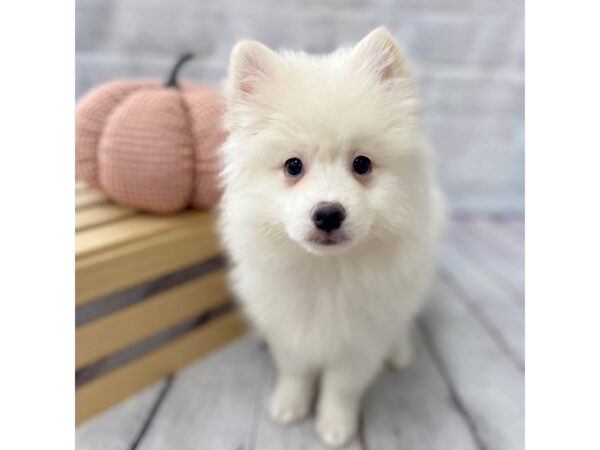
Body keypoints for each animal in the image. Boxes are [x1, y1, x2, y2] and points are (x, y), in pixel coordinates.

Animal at [219, 27, 446, 446]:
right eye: (293, 166)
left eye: (362, 164)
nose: (328, 213)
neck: (327, 272)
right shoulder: (289, 326)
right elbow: (296, 372)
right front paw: (289, 406)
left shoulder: (361, 341)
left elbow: (341, 387)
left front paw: (335, 426)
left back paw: (399, 352)